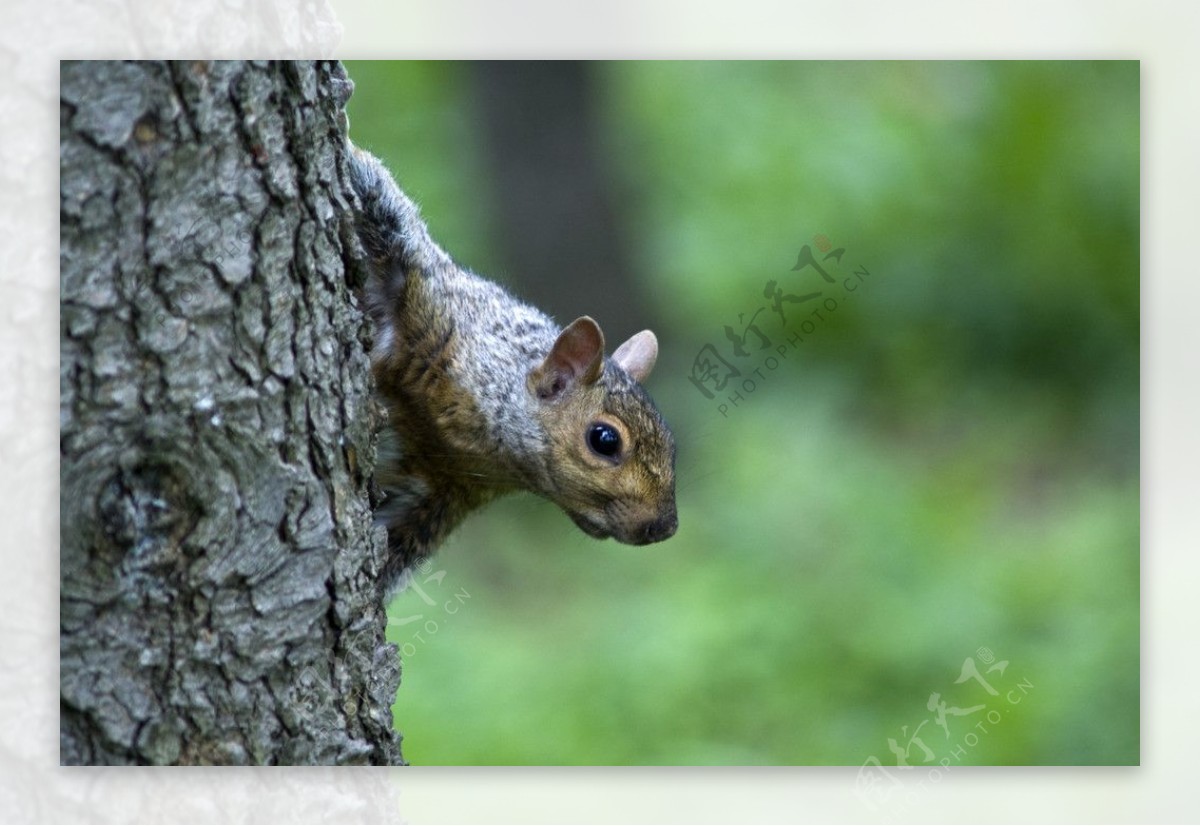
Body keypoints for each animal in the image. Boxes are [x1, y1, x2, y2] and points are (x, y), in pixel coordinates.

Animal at [348, 143, 676, 593]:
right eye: (605, 440)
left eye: (671, 442)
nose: (663, 527)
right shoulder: (428, 301)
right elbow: (384, 208)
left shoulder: (440, 495)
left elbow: (400, 543)